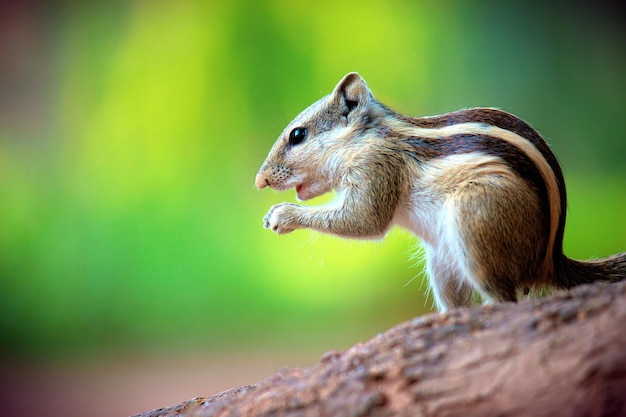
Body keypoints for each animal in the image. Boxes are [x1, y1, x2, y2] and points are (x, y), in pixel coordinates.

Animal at [254, 71, 624, 310]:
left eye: (298, 135)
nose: (260, 181)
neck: (365, 138)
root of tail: (548, 261)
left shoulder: (377, 167)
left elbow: (364, 220)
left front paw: (282, 215)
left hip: (476, 218)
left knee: (507, 299)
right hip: (442, 265)